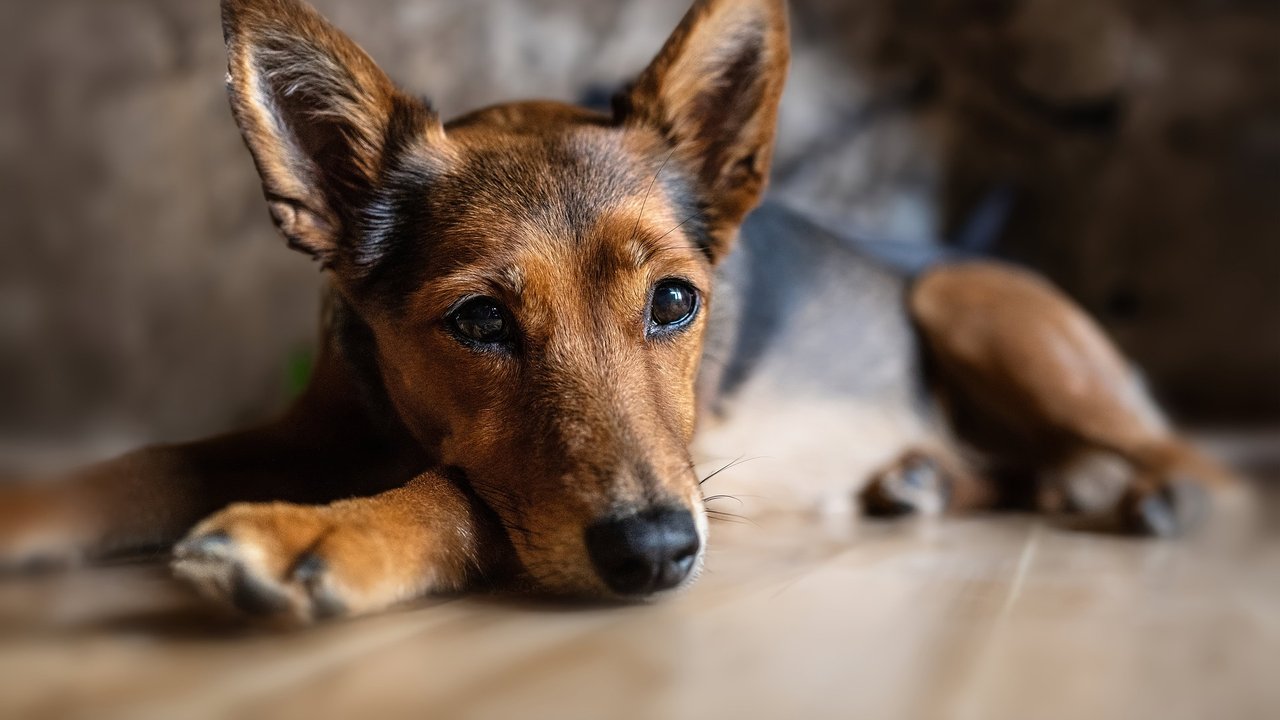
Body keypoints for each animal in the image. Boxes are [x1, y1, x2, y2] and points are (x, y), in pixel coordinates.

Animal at [0, 0, 1228, 620]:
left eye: (675, 303)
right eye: (478, 322)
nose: (658, 553)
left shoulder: (675, 477)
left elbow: (461, 491)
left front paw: (332, 533)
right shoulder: (307, 428)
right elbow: (147, 462)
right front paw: (33, 510)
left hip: (965, 298)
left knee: (1182, 458)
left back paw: (1159, 493)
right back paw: (925, 481)